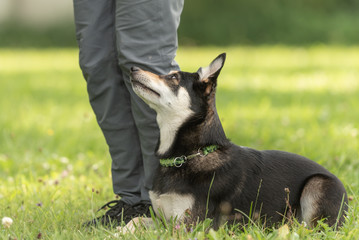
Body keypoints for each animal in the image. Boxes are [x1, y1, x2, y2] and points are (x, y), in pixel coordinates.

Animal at [127, 53, 348, 232]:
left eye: (173, 77)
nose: (133, 69)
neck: (189, 155)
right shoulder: (163, 219)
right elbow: (135, 221)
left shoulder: (190, 225)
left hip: (317, 185)